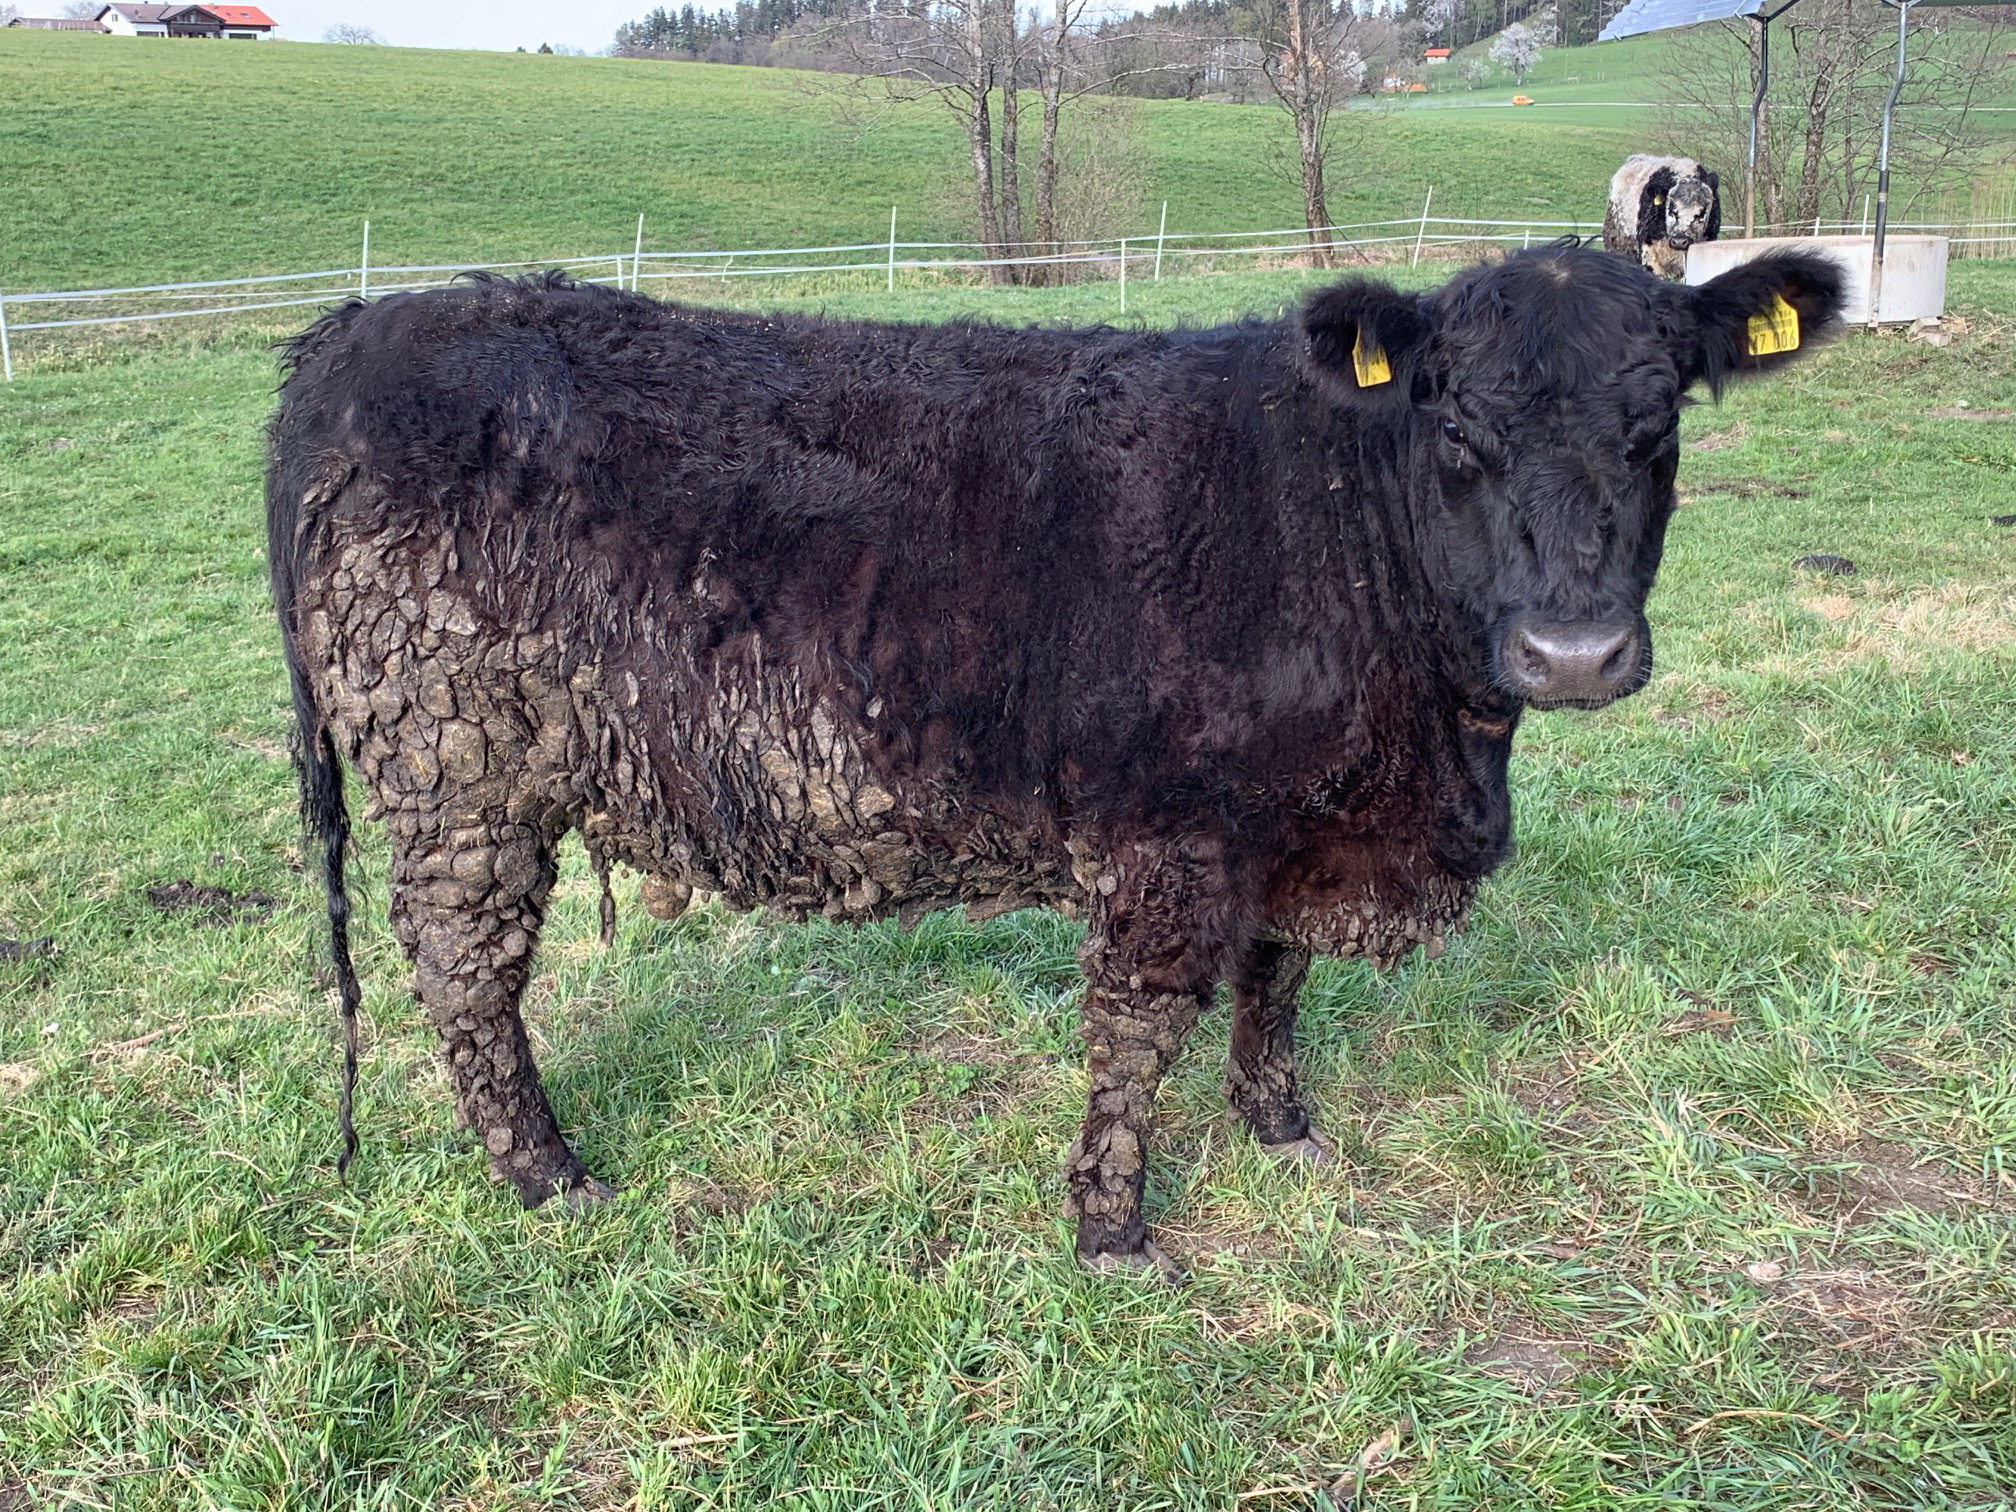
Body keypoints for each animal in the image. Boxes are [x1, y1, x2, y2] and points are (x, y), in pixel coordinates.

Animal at [268, 244, 1845, 1279]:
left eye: (1660, 425)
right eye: (1457, 427)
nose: (1575, 651)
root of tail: (357, 331)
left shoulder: (1287, 821)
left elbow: (1277, 979)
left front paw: (1282, 1130)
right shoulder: (1168, 833)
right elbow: (1136, 1032)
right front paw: (1114, 1231)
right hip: (460, 772)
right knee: (465, 972)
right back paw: (549, 1176)